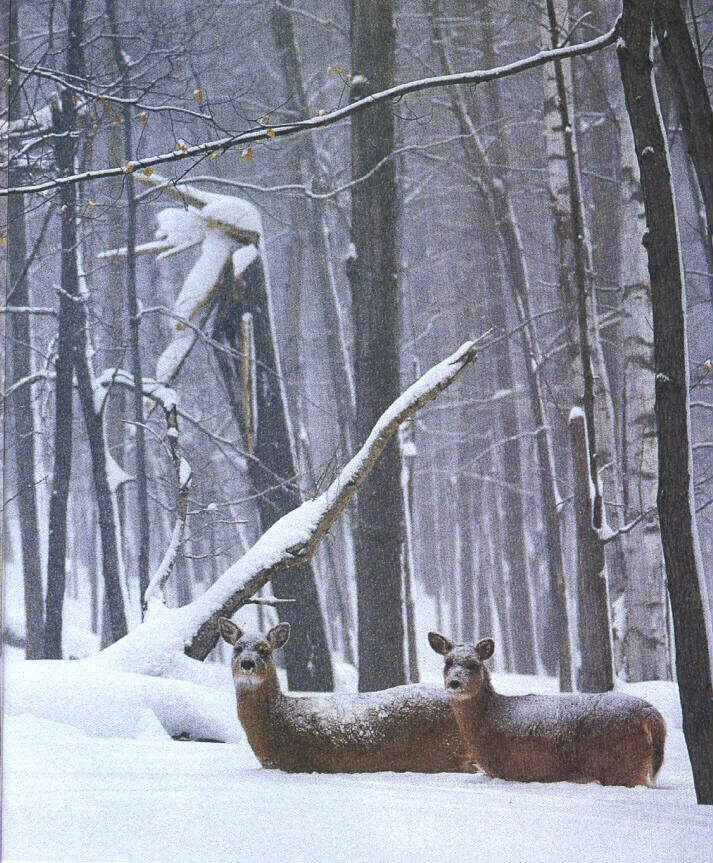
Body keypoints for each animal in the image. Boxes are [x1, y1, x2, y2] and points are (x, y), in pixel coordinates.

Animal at [428, 632, 668, 788]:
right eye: (448, 662)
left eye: (474, 664)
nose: (454, 683)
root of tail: (651, 714)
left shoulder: (511, 770)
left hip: (622, 764)